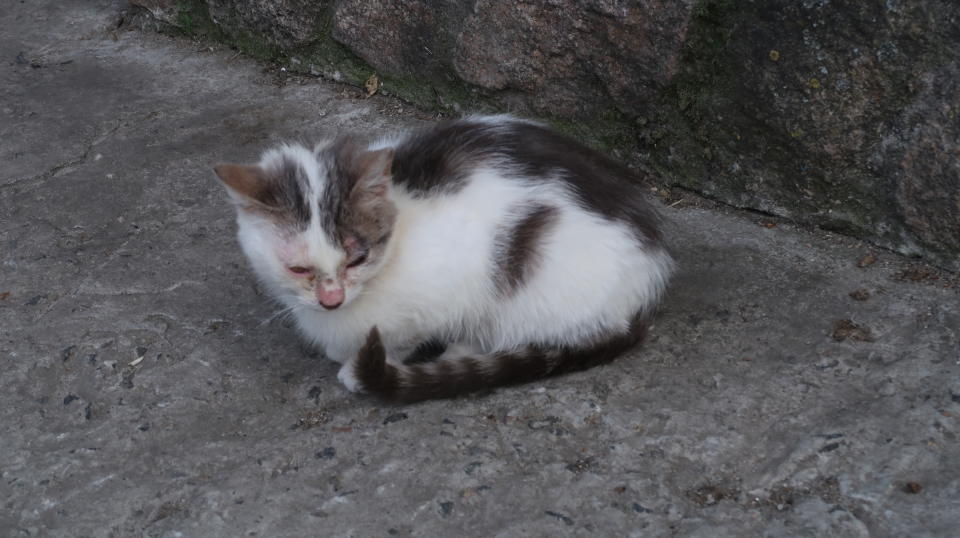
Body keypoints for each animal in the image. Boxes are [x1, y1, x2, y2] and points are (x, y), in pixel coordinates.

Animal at [214, 115, 672, 400]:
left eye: (357, 259)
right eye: (298, 269)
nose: (332, 300)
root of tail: (649, 278)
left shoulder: (451, 281)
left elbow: (404, 335)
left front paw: (358, 363)